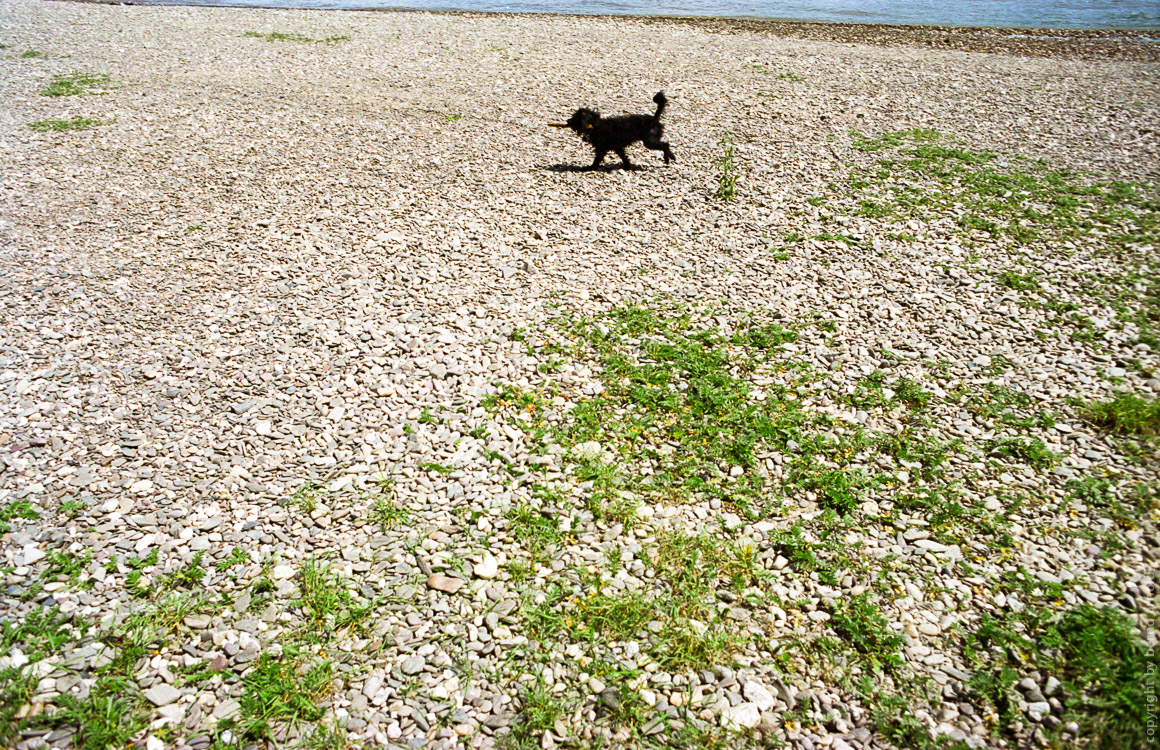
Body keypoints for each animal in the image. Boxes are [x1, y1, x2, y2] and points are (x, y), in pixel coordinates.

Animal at [549, 91, 677, 170]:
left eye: (575, 118)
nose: (567, 120)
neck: (595, 125)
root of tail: (654, 119)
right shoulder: (617, 147)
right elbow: (624, 157)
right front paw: (628, 167)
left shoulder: (601, 148)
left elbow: (597, 159)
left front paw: (590, 168)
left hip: (649, 141)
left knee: (665, 145)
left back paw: (668, 157)